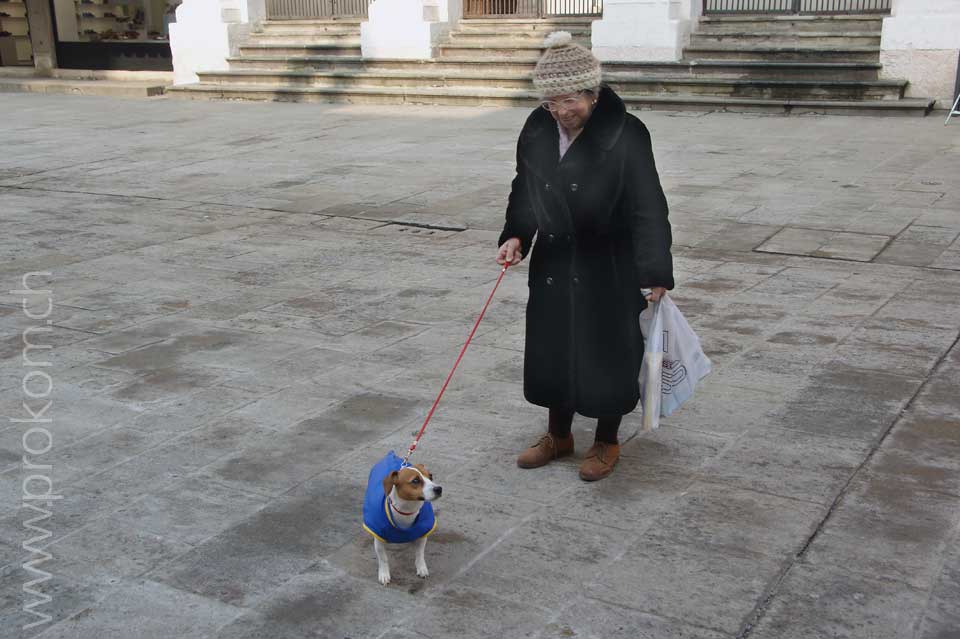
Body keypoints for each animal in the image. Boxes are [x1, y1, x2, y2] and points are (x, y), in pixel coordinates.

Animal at [362, 452, 444, 588]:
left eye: (430, 476)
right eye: (415, 480)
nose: (439, 488)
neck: (406, 510)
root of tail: (391, 455)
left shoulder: (422, 532)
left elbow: (420, 553)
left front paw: (421, 568)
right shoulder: (378, 539)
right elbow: (383, 558)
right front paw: (384, 574)